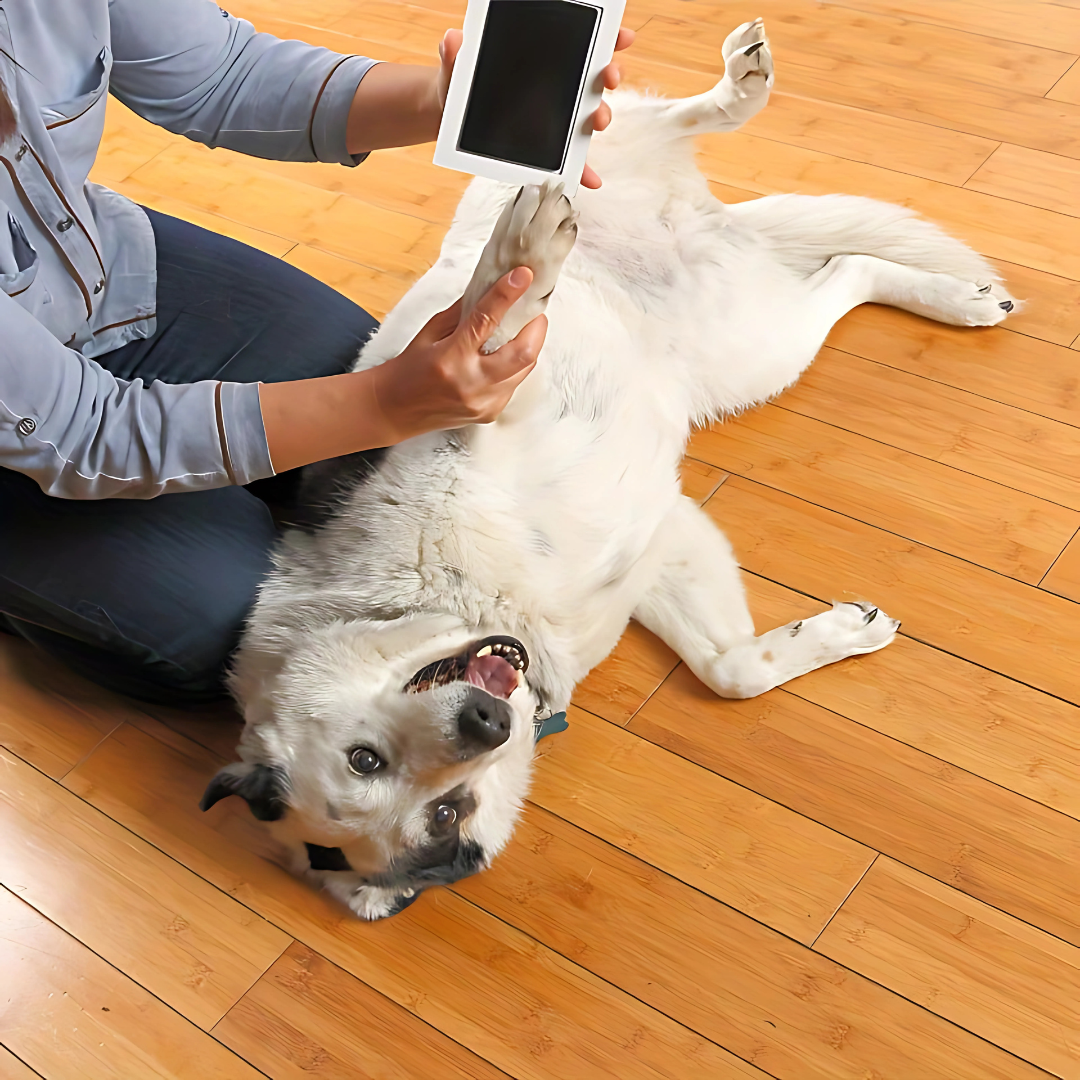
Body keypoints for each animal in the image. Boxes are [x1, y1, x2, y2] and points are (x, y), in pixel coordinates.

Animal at [200, 21, 1010, 920]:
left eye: (362, 760)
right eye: (439, 809)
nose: (488, 723)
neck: (449, 602)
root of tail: (707, 227)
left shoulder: (467, 409)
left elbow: (494, 310)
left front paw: (522, 256)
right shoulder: (658, 542)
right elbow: (731, 669)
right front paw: (831, 636)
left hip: (601, 182)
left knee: (649, 134)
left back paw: (719, 97)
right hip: (758, 344)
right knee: (843, 272)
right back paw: (956, 297)